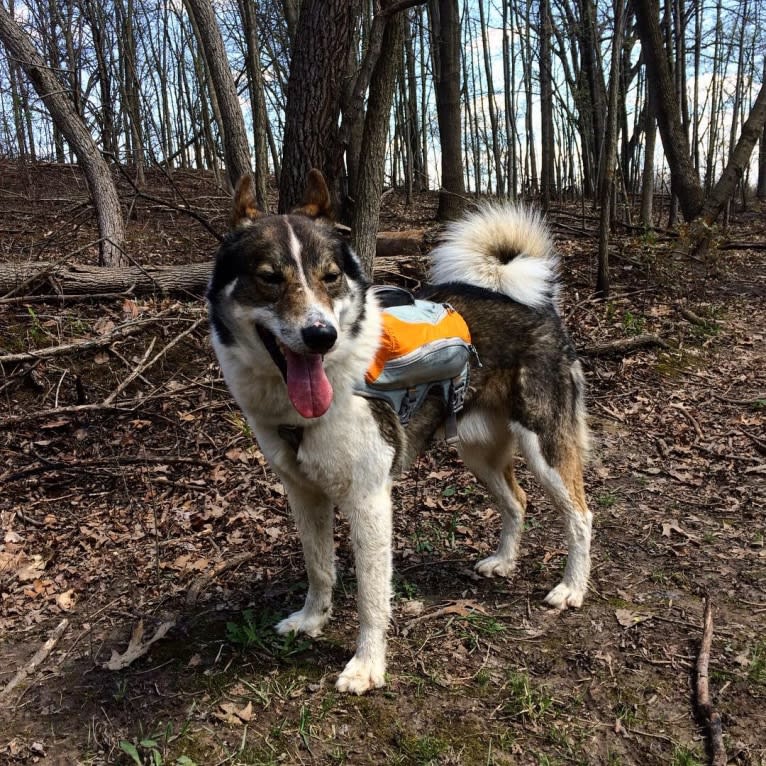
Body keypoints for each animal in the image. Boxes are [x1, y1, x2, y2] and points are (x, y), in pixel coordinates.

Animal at [206, 171, 592, 700]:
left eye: (330, 277)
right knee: (517, 501)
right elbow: (319, 567)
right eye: (269, 277)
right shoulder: (304, 494)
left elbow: (372, 594)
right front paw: (312, 620)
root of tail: (531, 302)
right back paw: (503, 561)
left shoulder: (368, 498)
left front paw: (367, 666)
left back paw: (572, 587)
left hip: (545, 447)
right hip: (479, 454)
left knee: (580, 516)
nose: (321, 335)